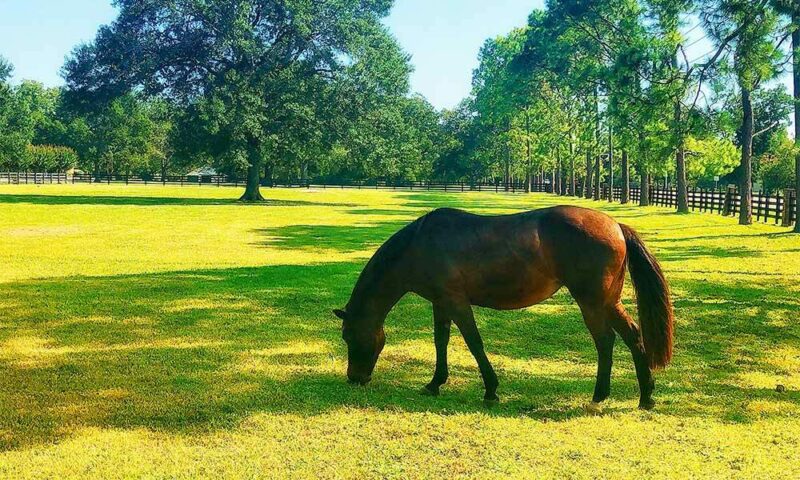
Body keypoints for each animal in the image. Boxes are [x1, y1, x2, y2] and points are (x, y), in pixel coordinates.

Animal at [332, 205, 676, 408]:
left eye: (348, 336)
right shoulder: (441, 303)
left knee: (608, 340)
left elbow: (474, 343)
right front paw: (434, 383)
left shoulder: (456, 302)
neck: (419, 246)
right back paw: (640, 396)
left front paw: (490, 390)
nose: (354, 378)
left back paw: (609, 396)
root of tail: (615, 225)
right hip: (606, 301)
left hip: (593, 301)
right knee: (627, 337)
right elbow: (441, 341)